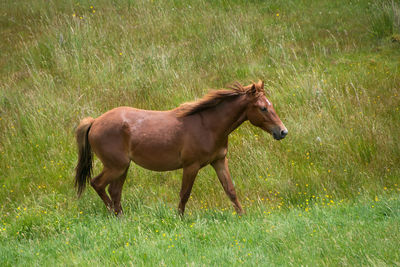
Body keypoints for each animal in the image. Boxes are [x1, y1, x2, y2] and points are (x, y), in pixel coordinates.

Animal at [74, 80, 288, 217]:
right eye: (263, 108)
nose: (282, 131)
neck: (208, 125)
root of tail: (94, 122)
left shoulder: (219, 161)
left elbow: (230, 190)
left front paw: (242, 216)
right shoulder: (191, 166)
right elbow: (184, 194)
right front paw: (180, 218)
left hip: (122, 168)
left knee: (114, 191)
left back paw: (121, 217)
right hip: (116, 166)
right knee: (98, 184)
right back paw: (113, 214)